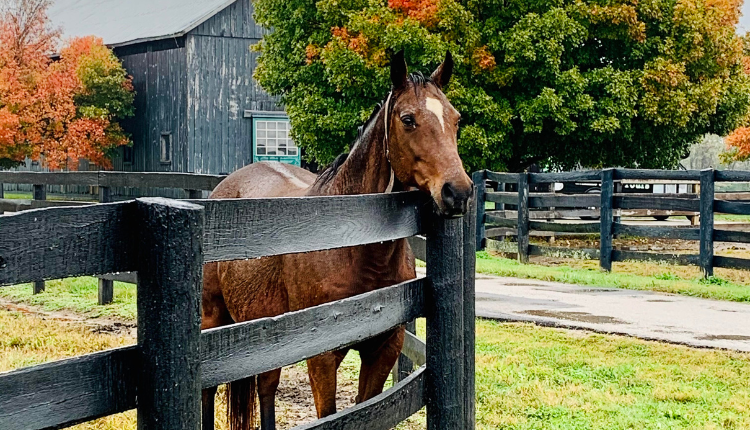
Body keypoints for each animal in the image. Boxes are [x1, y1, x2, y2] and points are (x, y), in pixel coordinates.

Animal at [200, 51, 470, 430]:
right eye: (408, 119)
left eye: (455, 119)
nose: (458, 192)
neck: (354, 245)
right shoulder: (323, 357)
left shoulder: (384, 349)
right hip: (213, 318)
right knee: (208, 391)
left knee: (266, 386)